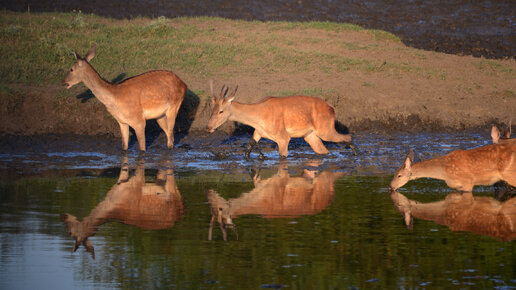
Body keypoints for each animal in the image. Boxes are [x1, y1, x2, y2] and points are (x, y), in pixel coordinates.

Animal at [205, 80, 354, 159]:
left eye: (221, 111)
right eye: (211, 109)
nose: (208, 127)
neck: (259, 114)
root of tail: (331, 108)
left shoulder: (283, 138)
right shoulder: (258, 133)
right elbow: (248, 149)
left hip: (325, 130)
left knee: (348, 136)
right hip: (310, 135)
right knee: (324, 150)